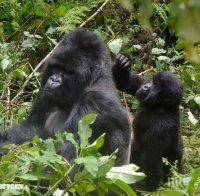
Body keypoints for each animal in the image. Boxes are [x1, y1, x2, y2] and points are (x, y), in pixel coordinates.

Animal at [0, 28, 131, 164]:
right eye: (56, 67)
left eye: (68, 72)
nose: (54, 80)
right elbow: (29, 128)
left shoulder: (94, 102)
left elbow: (67, 160)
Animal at [112, 54, 183, 192]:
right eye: (153, 81)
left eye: (157, 86)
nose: (146, 87)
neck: (160, 106)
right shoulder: (143, 83)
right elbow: (126, 84)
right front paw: (124, 62)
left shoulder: (163, 126)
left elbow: (150, 157)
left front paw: (148, 189)